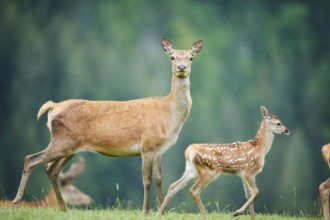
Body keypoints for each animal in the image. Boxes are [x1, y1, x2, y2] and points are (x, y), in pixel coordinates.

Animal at [12, 37, 202, 213]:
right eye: (172, 57)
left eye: (191, 57)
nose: (182, 67)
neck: (170, 116)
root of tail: (53, 107)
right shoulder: (147, 146)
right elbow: (147, 181)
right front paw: (146, 211)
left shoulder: (159, 150)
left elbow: (159, 179)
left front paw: (162, 209)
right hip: (63, 142)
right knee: (31, 159)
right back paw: (17, 201)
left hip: (70, 147)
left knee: (52, 170)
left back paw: (63, 208)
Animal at [157, 106, 288, 218]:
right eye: (278, 123)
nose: (287, 130)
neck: (260, 149)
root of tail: (189, 151)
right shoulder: (248, 171)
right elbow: (256, 192)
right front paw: (236, 213)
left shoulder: (243, 174)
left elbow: (249, 195)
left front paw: (251, 217)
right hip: (208, 170)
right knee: (194, 190)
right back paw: (206, 215)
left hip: (192, 171)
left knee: (173, 186)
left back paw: (159, 213)